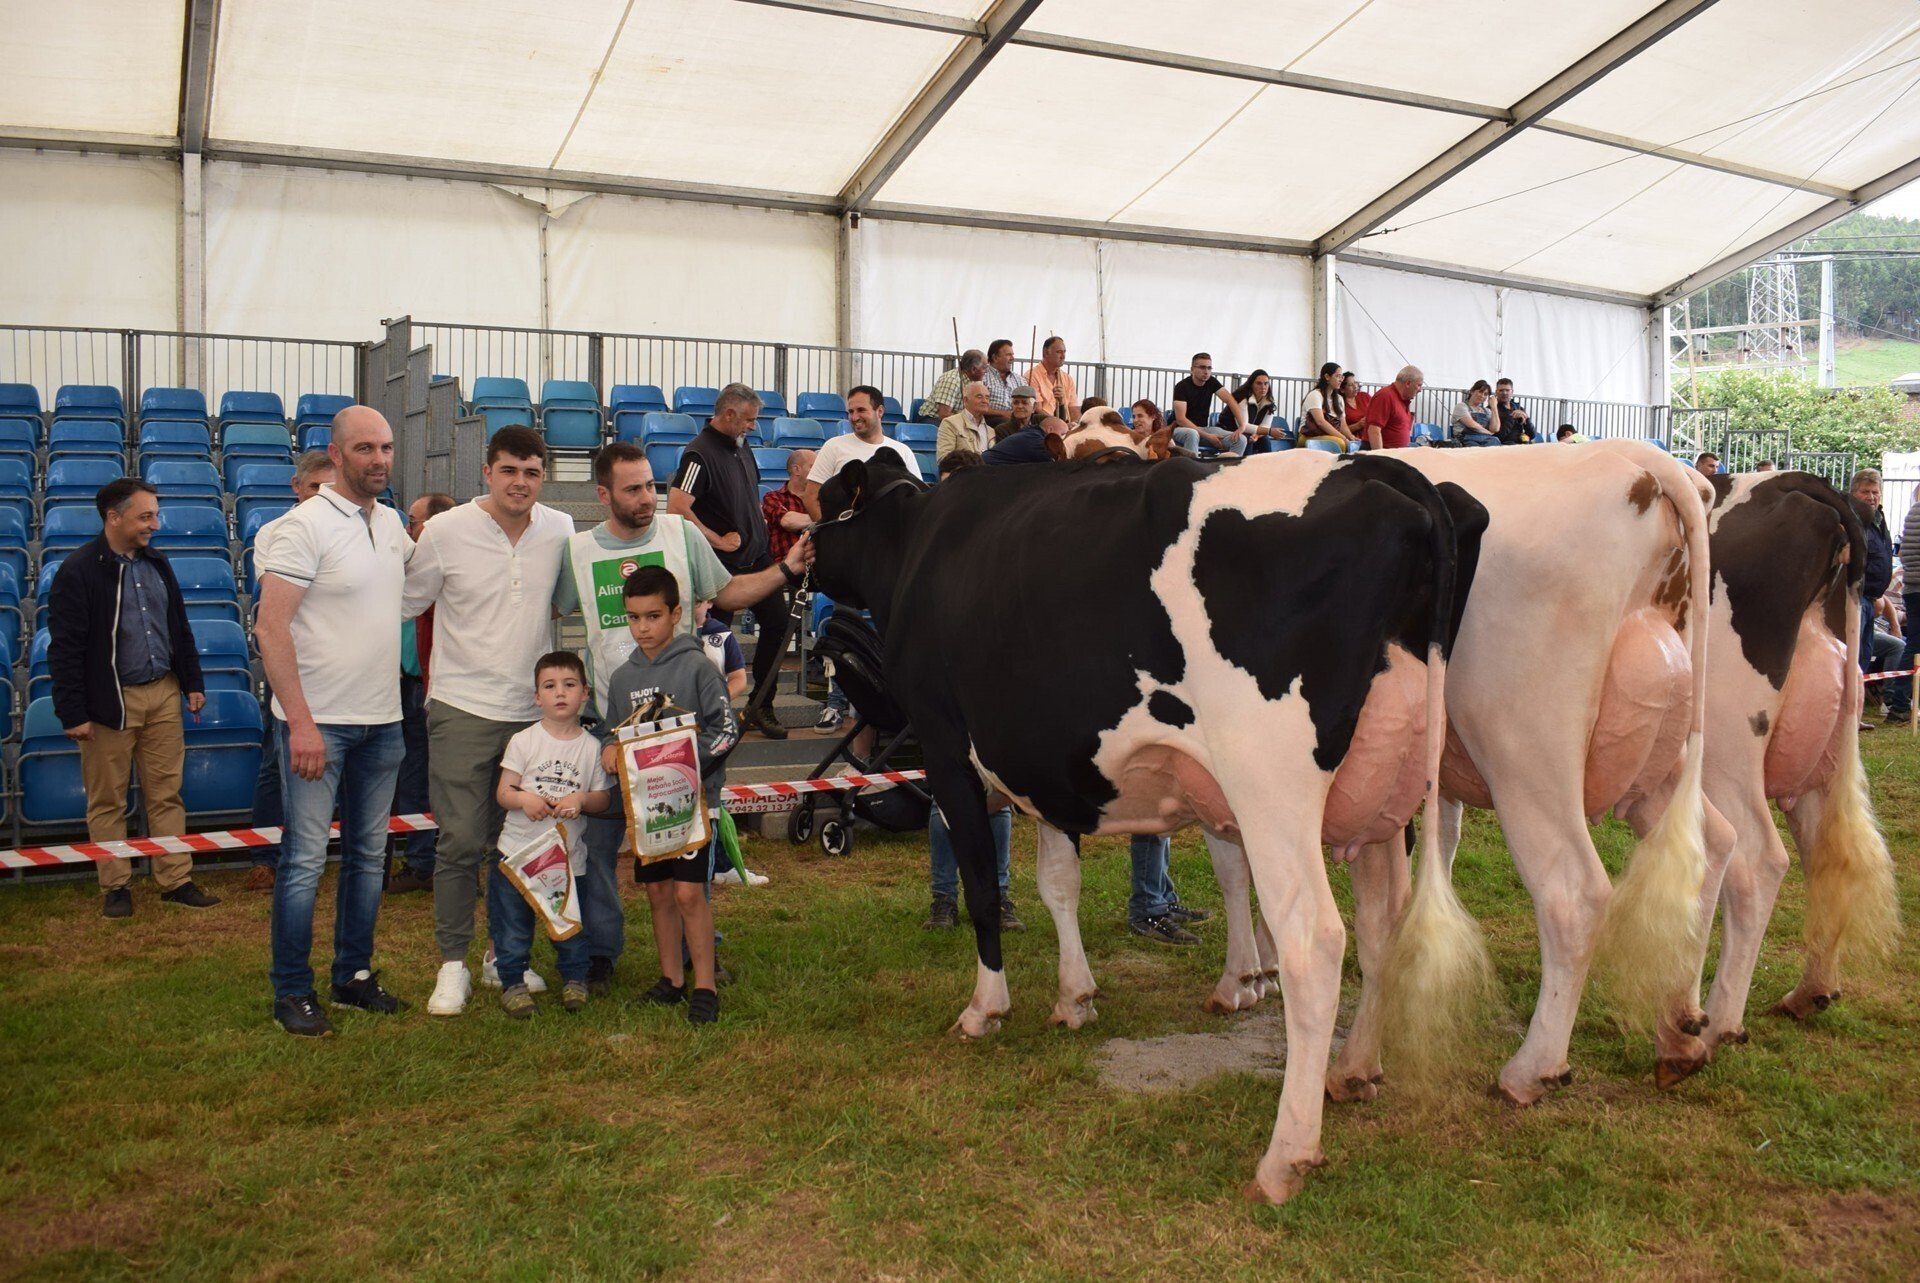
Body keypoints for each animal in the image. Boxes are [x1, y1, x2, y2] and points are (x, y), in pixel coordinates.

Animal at [809, 447, 1488, 1203]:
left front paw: (985, 1007)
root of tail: (1380, 471)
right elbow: (1058, 884)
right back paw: (1355, 1070)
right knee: (1380, 924)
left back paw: (1284, 1156)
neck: (916, 542)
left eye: (825, 500)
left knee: (1315, 940)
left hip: (1270, 783)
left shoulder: (946, 745)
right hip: (1383, 793)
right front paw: (1075, 996)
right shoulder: (1048, 766)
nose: (796, 554)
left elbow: (984, 889)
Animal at [1203, 440, 1717, 1105]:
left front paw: (1239, 978)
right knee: (1713, 849)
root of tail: (1641, 460)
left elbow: (1233, 866)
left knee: (1575, 892)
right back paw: (1681, 1031)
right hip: (1660, 750)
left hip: (1527, 752)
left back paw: (1531, 1069)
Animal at [1651, 471, 1899, 1081]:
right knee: (1826, 854)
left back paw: (1714, 1025)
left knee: (1760, 858)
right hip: (1820, 759)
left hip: (1723, 746)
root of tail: (1797, 483)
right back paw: (1811, 991)